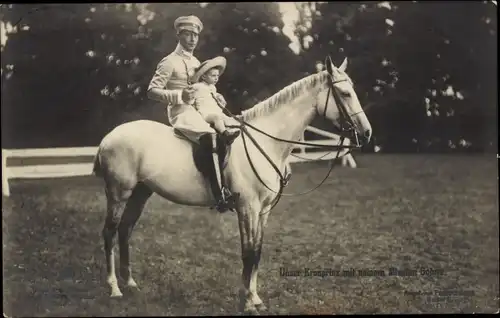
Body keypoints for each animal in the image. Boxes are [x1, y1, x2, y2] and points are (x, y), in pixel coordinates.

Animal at [94, 56, 372, 314]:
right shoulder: (247, 208)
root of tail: (108, 137)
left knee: (125, 230)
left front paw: (255, 299)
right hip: (119, 193)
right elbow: (247, 252)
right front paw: (246, 302)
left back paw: (130, 283)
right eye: (345, 93)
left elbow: (257, 251)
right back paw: (114, 288)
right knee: (109, 232)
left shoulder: (263, 211)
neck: (265, 141)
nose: (367, 133)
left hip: (141, 192)